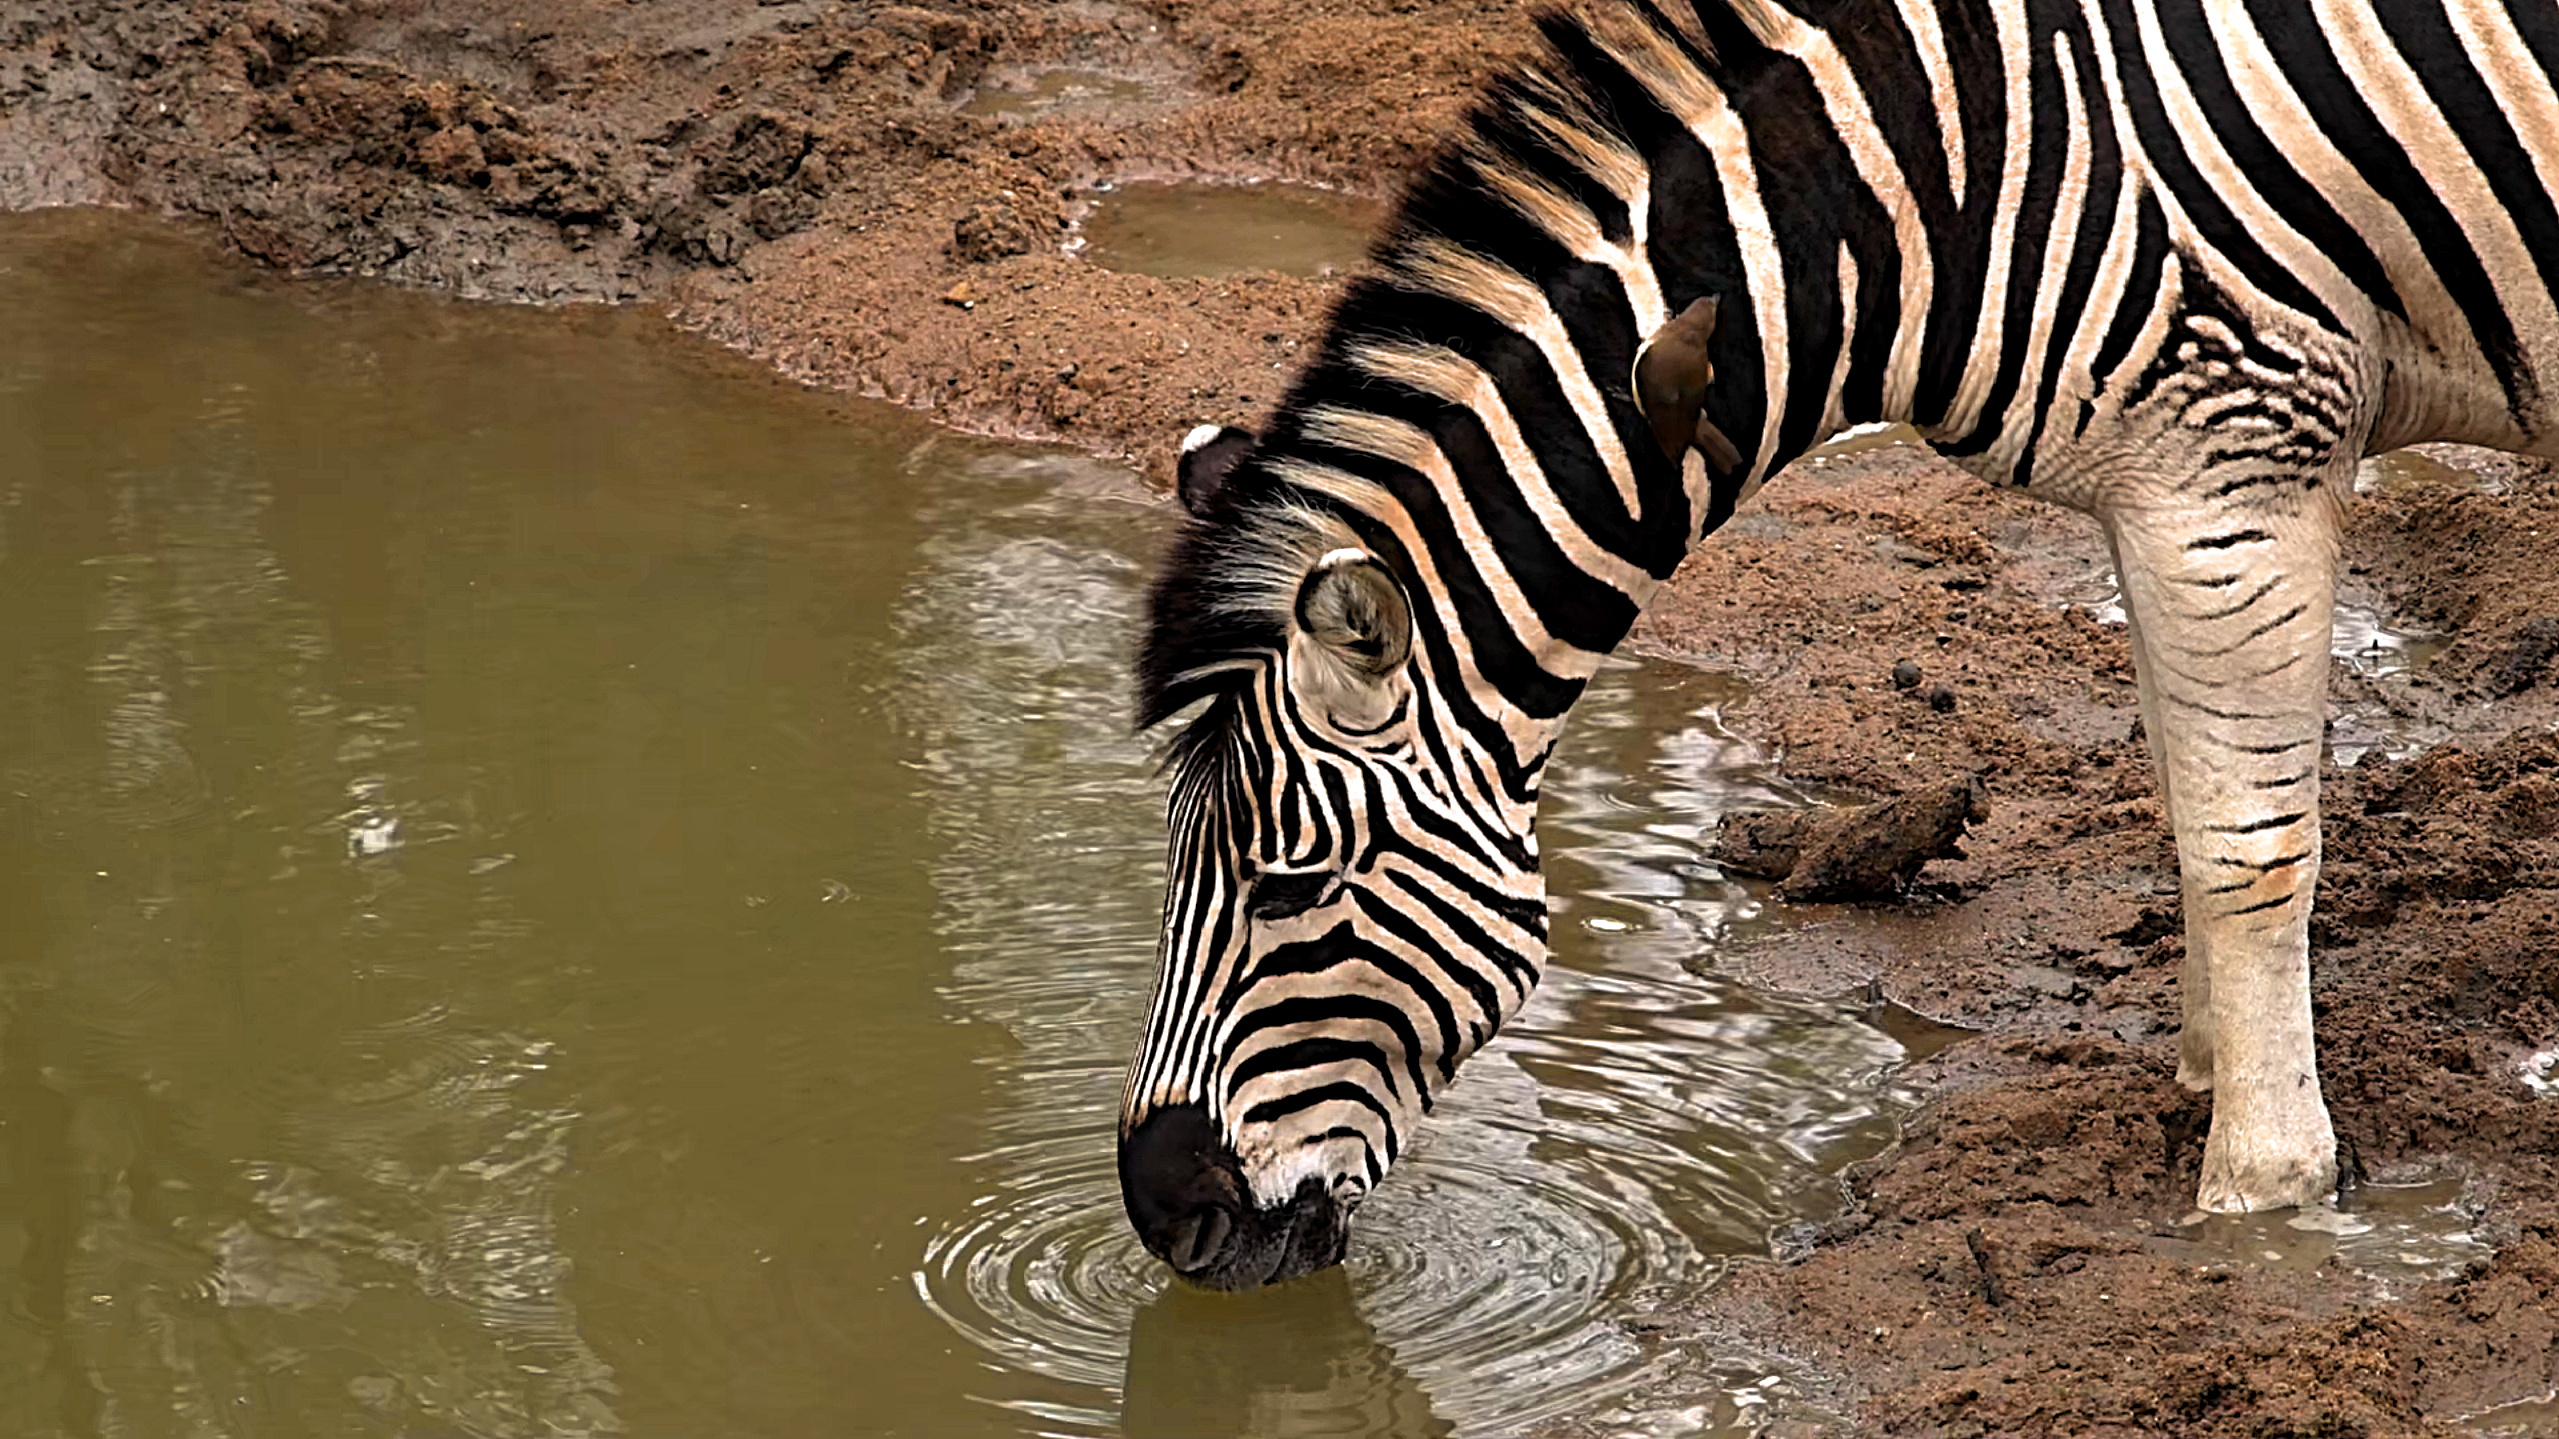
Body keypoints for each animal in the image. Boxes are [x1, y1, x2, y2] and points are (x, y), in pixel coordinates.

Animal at [1116, 0, 2559, 1289]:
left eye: (1289, 887)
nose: (1159, 1211)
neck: (1930, 201)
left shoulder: (2239, 461)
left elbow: (2245, 851)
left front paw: (2265, 1188)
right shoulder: (2158, 489)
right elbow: (2183, 787)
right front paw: (2213, 1066)